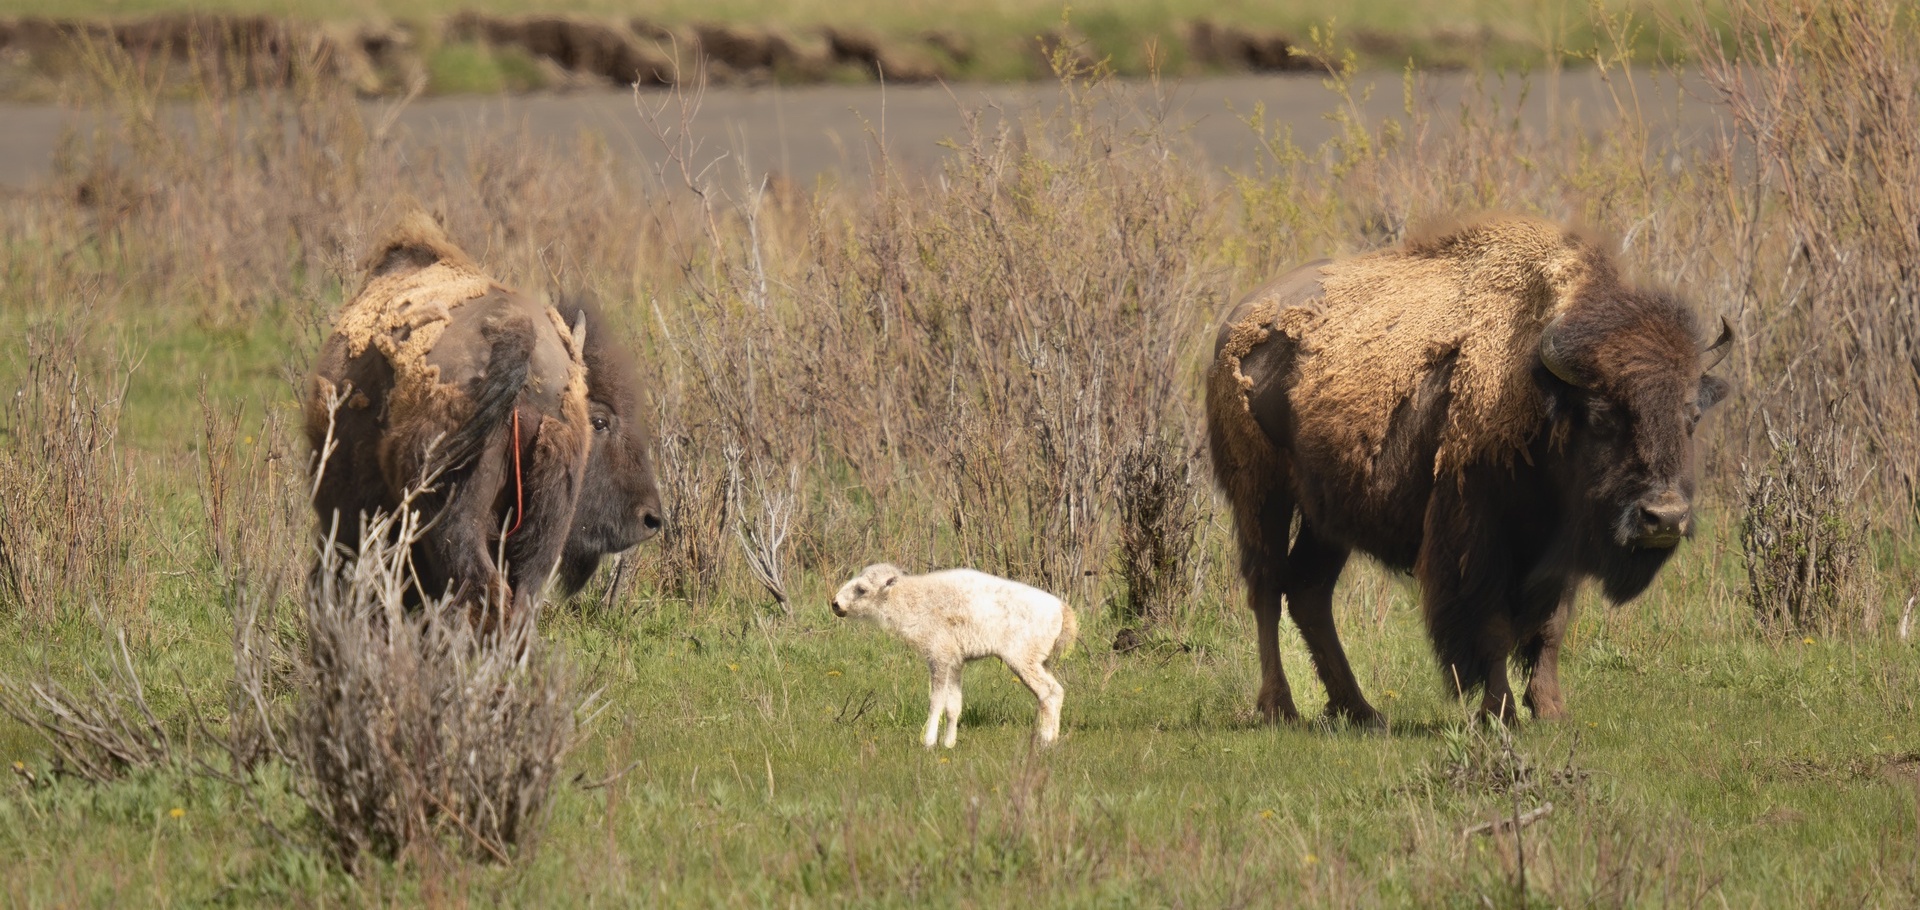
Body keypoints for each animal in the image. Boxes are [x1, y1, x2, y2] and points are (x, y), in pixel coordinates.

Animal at [1205, 215, 1733, 724]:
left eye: (1691, 417)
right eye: (1602, 416)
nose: (1664, 518)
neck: (1543, 390)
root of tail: (1235, 322)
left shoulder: (1557, 552)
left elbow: (1551, 627)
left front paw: (1551, 711)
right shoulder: (1476, 540)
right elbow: (1492, 627)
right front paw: (1499, 712)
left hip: (1328, 516)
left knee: (1309, 592)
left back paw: (1361, 710)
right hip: (1262, 494)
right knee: (1267, 586)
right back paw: (1281, 708)